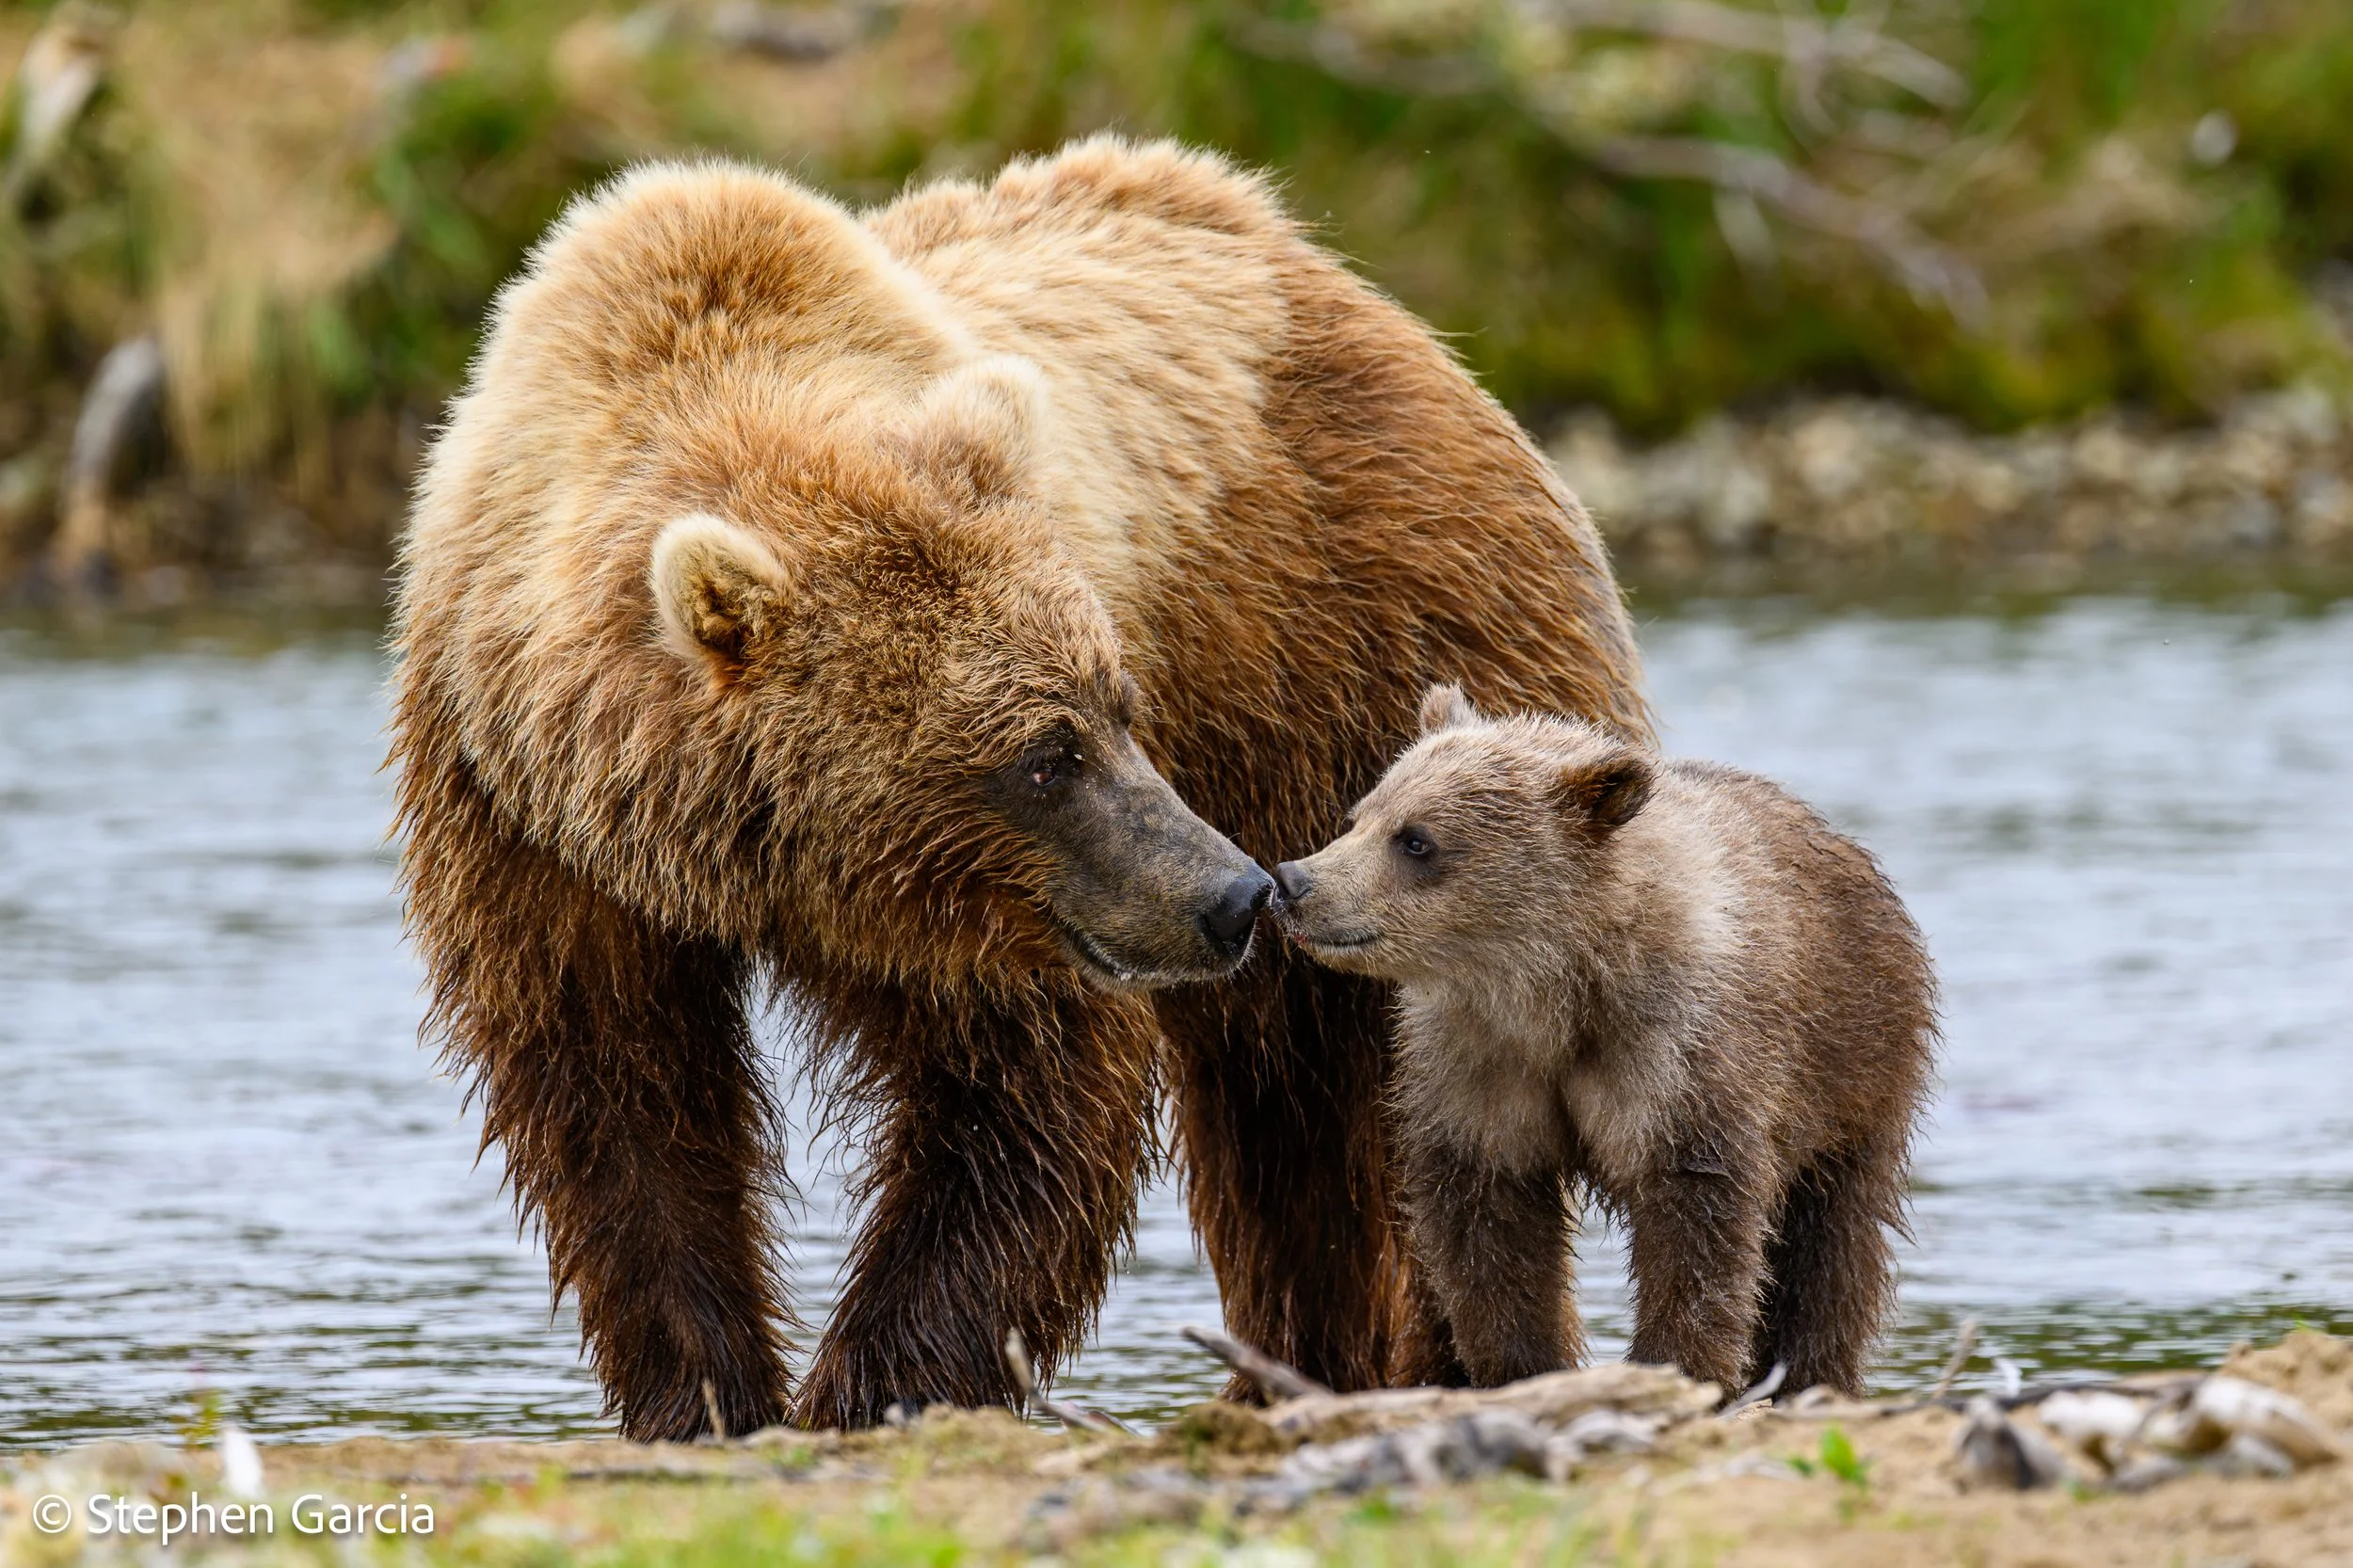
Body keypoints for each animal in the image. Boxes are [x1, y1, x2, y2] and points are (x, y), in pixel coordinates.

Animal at [388, 137, 1649, 1439]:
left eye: (1119, 704)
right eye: (1047, 754)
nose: (1232, 894)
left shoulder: (1024, 916)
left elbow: (1022, 1103)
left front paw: (871, 1389)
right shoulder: (524, 816)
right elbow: (615, 1092)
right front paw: (704, 1391)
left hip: (1376, 671)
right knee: (1280, 1119)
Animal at [1271, 685, 1935, 1397]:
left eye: (1417, 839)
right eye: (1360, 815)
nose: (1294, 882)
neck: (1556, 989)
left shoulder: (1681, 1053)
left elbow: (1697, 1219)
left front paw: (1673, 1362)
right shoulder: (1474, 1060)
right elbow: (1487, 1222)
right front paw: (1524, 1365)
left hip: (1854, 1065)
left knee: (1832, 1239)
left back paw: (1808, 1373)